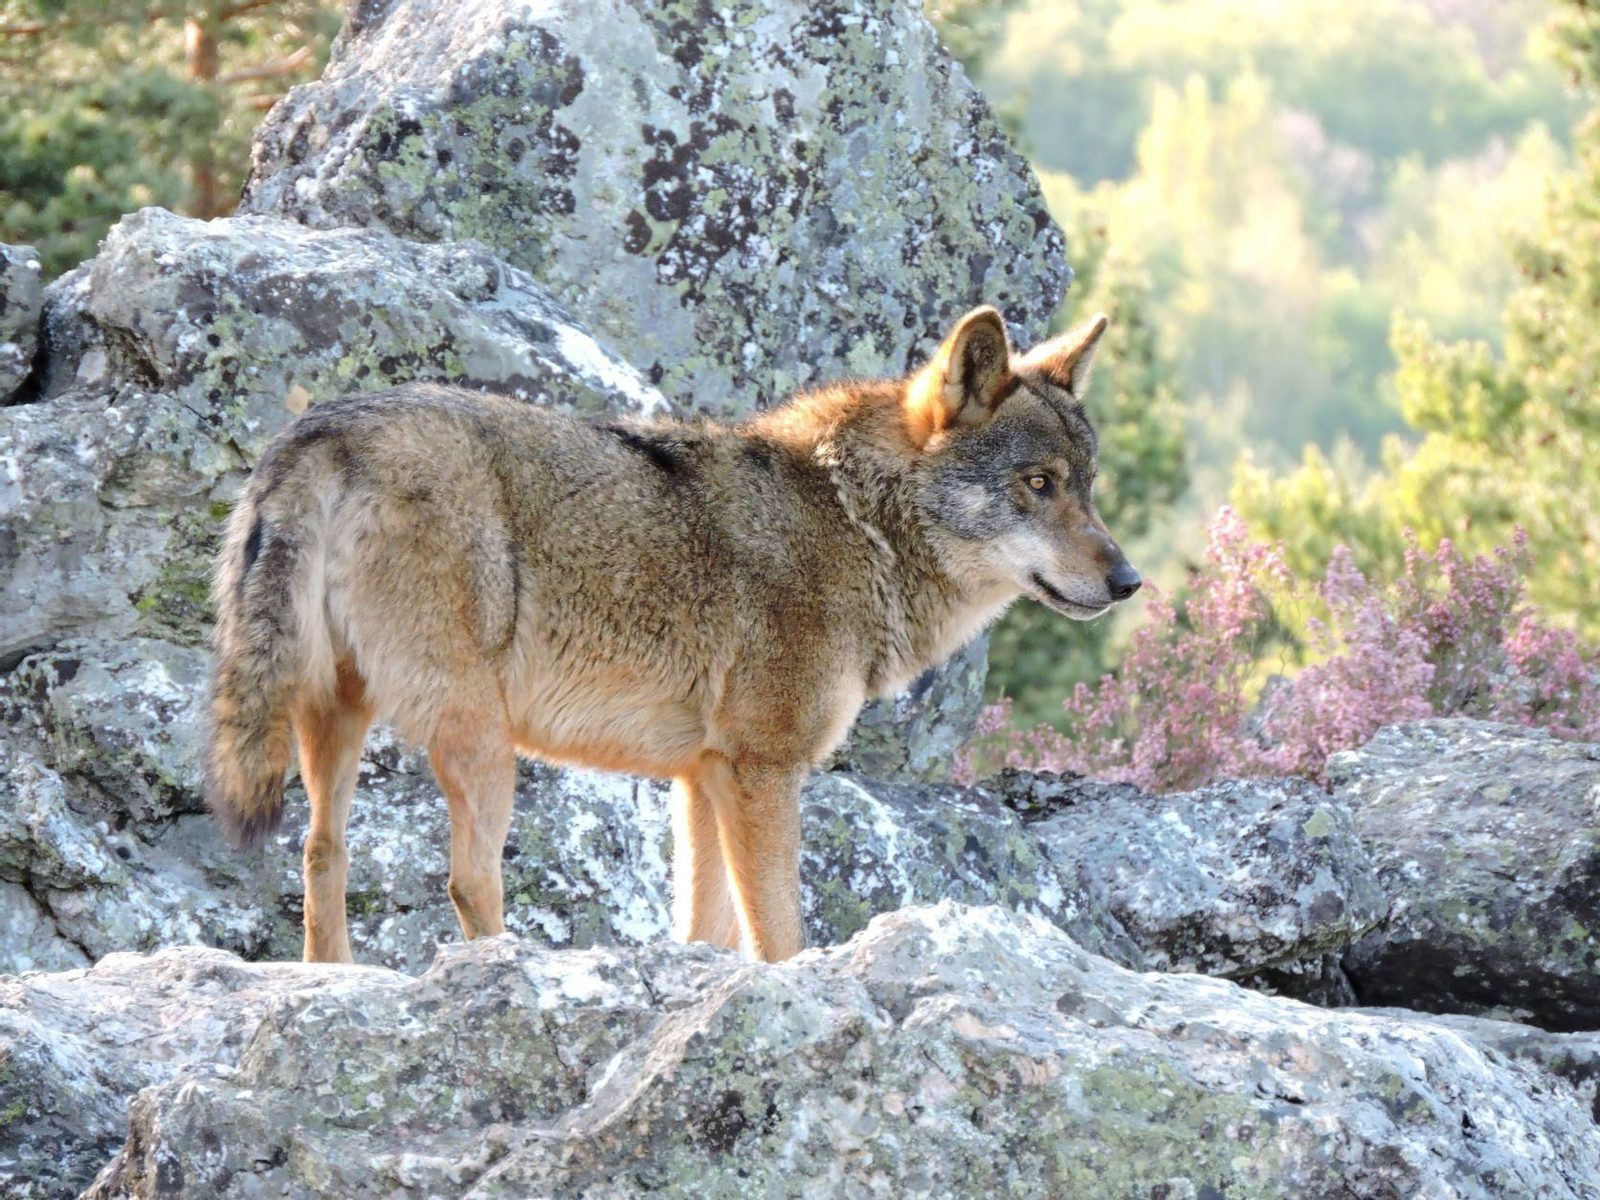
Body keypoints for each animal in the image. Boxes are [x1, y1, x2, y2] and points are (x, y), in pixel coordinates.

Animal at [204, 305, 1141, 964]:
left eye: (1089, 486)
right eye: (1038, 483)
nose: (1129, 581)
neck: (857, 522)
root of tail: (324, 427)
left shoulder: (700, 778)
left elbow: (705, 930)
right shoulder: (762, 771)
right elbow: (780, 937)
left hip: (334, 717)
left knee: (320, 853)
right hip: (483, 741)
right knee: (468, 881)